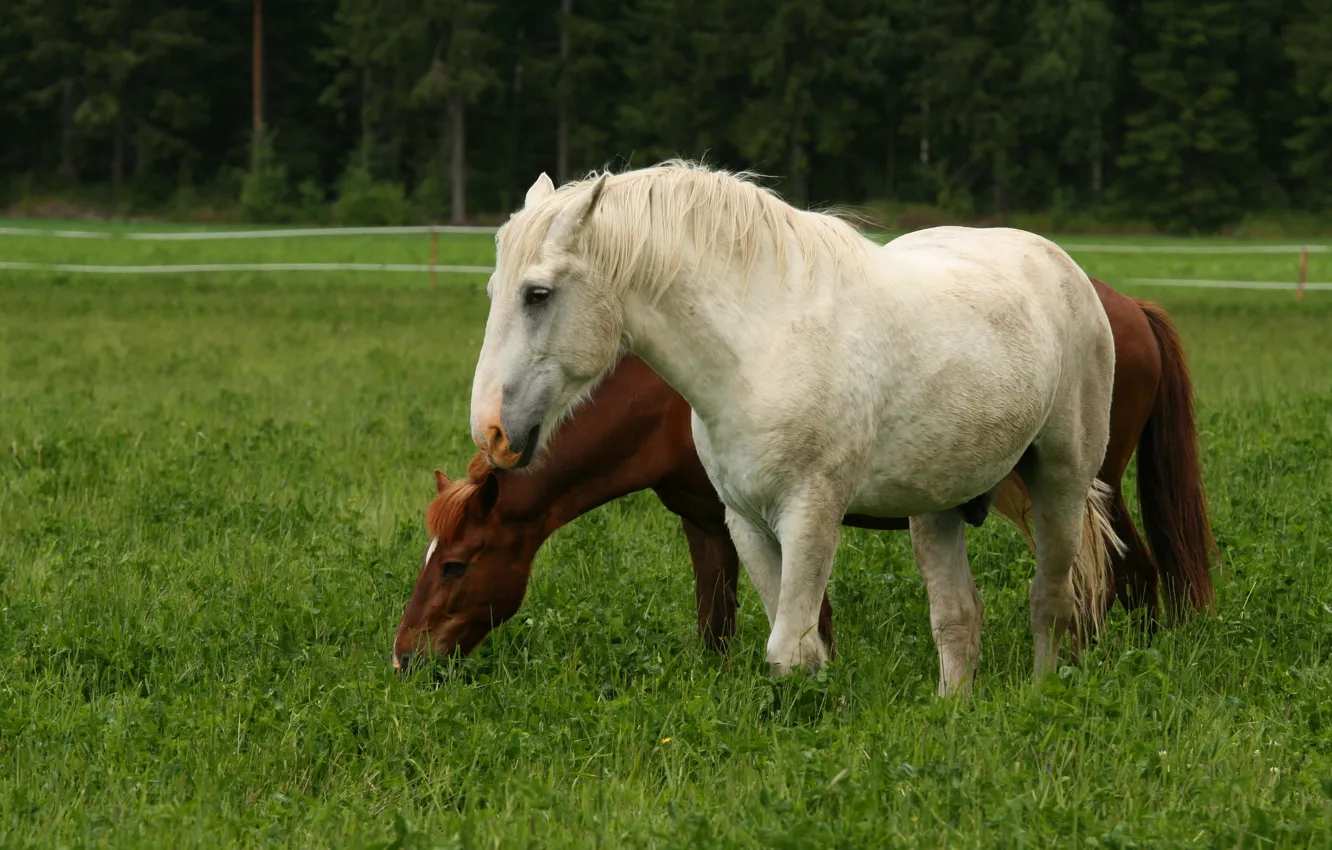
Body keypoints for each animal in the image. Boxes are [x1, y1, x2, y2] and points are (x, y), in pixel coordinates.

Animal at [392, 280, 1215, 671]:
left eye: (457, 564)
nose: (406, 656)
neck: (674, 396)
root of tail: (1127, 307)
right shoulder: (710, 518)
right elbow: (719, 620)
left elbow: (802, 616)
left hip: (1085, 485)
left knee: (1122, 573)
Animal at [466, 160, 1149, 693]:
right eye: (494, 290)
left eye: (537, 293)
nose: (491, 432)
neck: (759, 345)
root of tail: (1064, 268)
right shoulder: (745, 521)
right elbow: (798, 647)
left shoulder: (810, 515)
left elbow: (789, 653)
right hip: (938, 507)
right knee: (958, 616)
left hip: (1060, 484)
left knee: (1051, 601)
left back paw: (1040, 696)